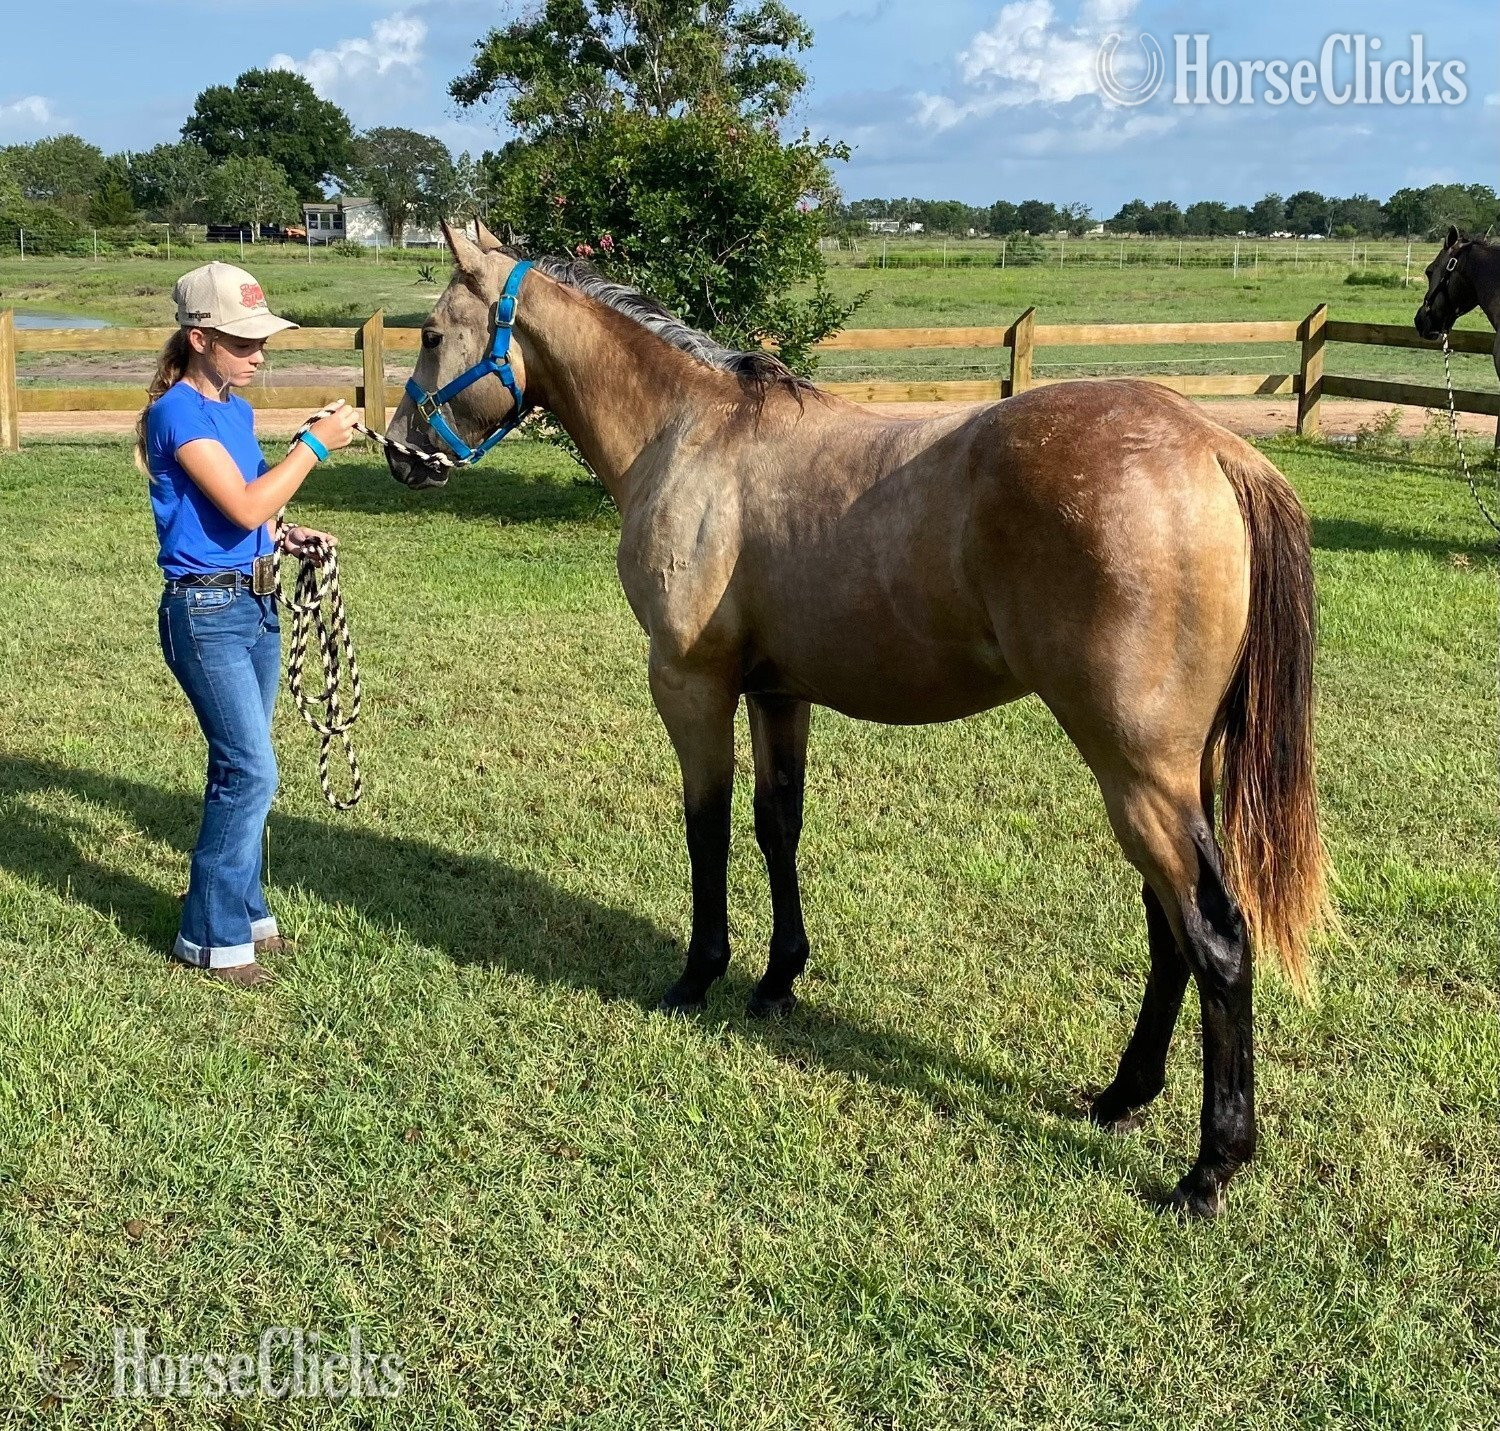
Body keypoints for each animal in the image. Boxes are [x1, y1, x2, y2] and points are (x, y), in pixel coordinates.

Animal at [382, 219, 1335, 1217]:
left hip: (1137, 771)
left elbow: (706, 828)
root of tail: (1219, 449)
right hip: (1175, 773)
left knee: (1214, 937)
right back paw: (1123, 1094)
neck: (692, 434)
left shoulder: (690, 686)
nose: (399, 450)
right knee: (1168, 927)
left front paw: (699, 974)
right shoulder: (778, 693)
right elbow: (778, 826)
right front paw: (776, 977)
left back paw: (1210, 1164)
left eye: (431, 334)